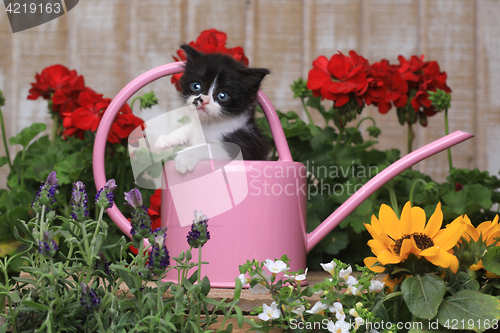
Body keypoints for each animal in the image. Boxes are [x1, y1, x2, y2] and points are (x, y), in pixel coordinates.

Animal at [154, 44, 270, 172]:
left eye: (222, 95)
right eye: (196, 86)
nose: (202, 100)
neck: (210, 125)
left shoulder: (245, 146)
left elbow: (211, 147)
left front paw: (186, 156)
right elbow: (190, 126)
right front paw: (168, 138)